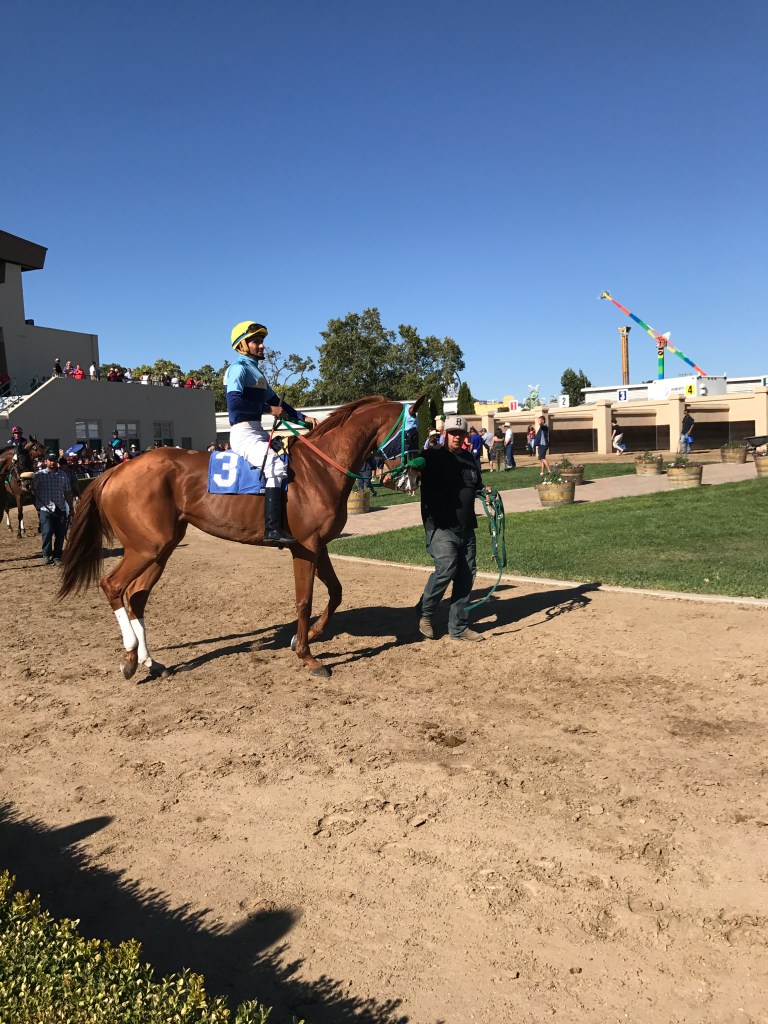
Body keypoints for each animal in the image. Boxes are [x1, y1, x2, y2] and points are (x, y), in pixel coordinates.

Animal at [59, 396, 423, 679]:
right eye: (412, 432)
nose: (413, 479)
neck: (319, 469)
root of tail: (113, 471)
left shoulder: (319, 546)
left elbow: (335, 592)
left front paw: (308, 636)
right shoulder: (304, 548)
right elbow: (304, 600)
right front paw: (307, 656)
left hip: (160, 548)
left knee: (136, 596)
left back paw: (147, 661)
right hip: (146, 548)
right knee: (113, 586)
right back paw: (131, 653)